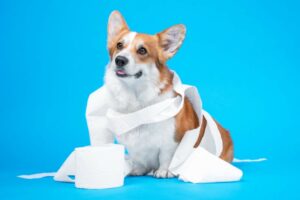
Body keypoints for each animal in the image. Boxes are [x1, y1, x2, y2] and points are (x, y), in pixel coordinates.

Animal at [104, 10, 233, 178]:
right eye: (119, 45)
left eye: (142, 50)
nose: (119, 60)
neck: (137, 98)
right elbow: (137, 157)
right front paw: (138, 168)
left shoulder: (172, 141)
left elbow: (166, 156)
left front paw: (164, 171)